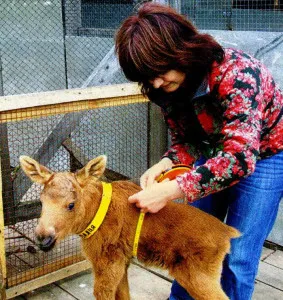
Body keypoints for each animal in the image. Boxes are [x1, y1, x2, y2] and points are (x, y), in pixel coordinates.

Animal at [20, 156, 242, 298]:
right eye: (41, 201)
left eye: (71, 204)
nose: (43, 238)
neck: (90, 219)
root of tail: (228, 234)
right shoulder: (123, 260)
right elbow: (124, 294)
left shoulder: (107, 261)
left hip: (199, 275)